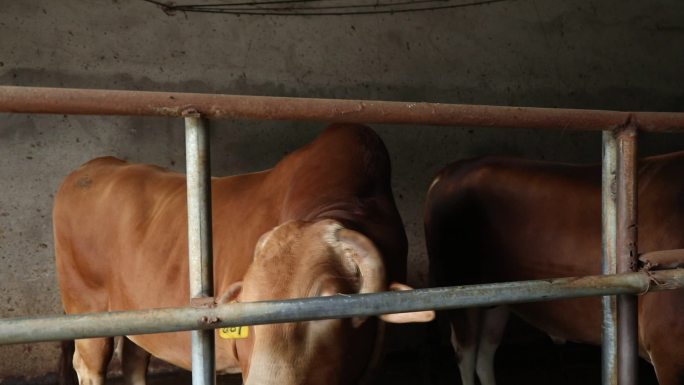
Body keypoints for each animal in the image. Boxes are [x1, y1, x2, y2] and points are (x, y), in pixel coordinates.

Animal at [422, 152, 684, 382]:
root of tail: (453, 170)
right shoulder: (667, 351)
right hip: (455, 287)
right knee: (465, 351)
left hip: (496, 296)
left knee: (485, 352)